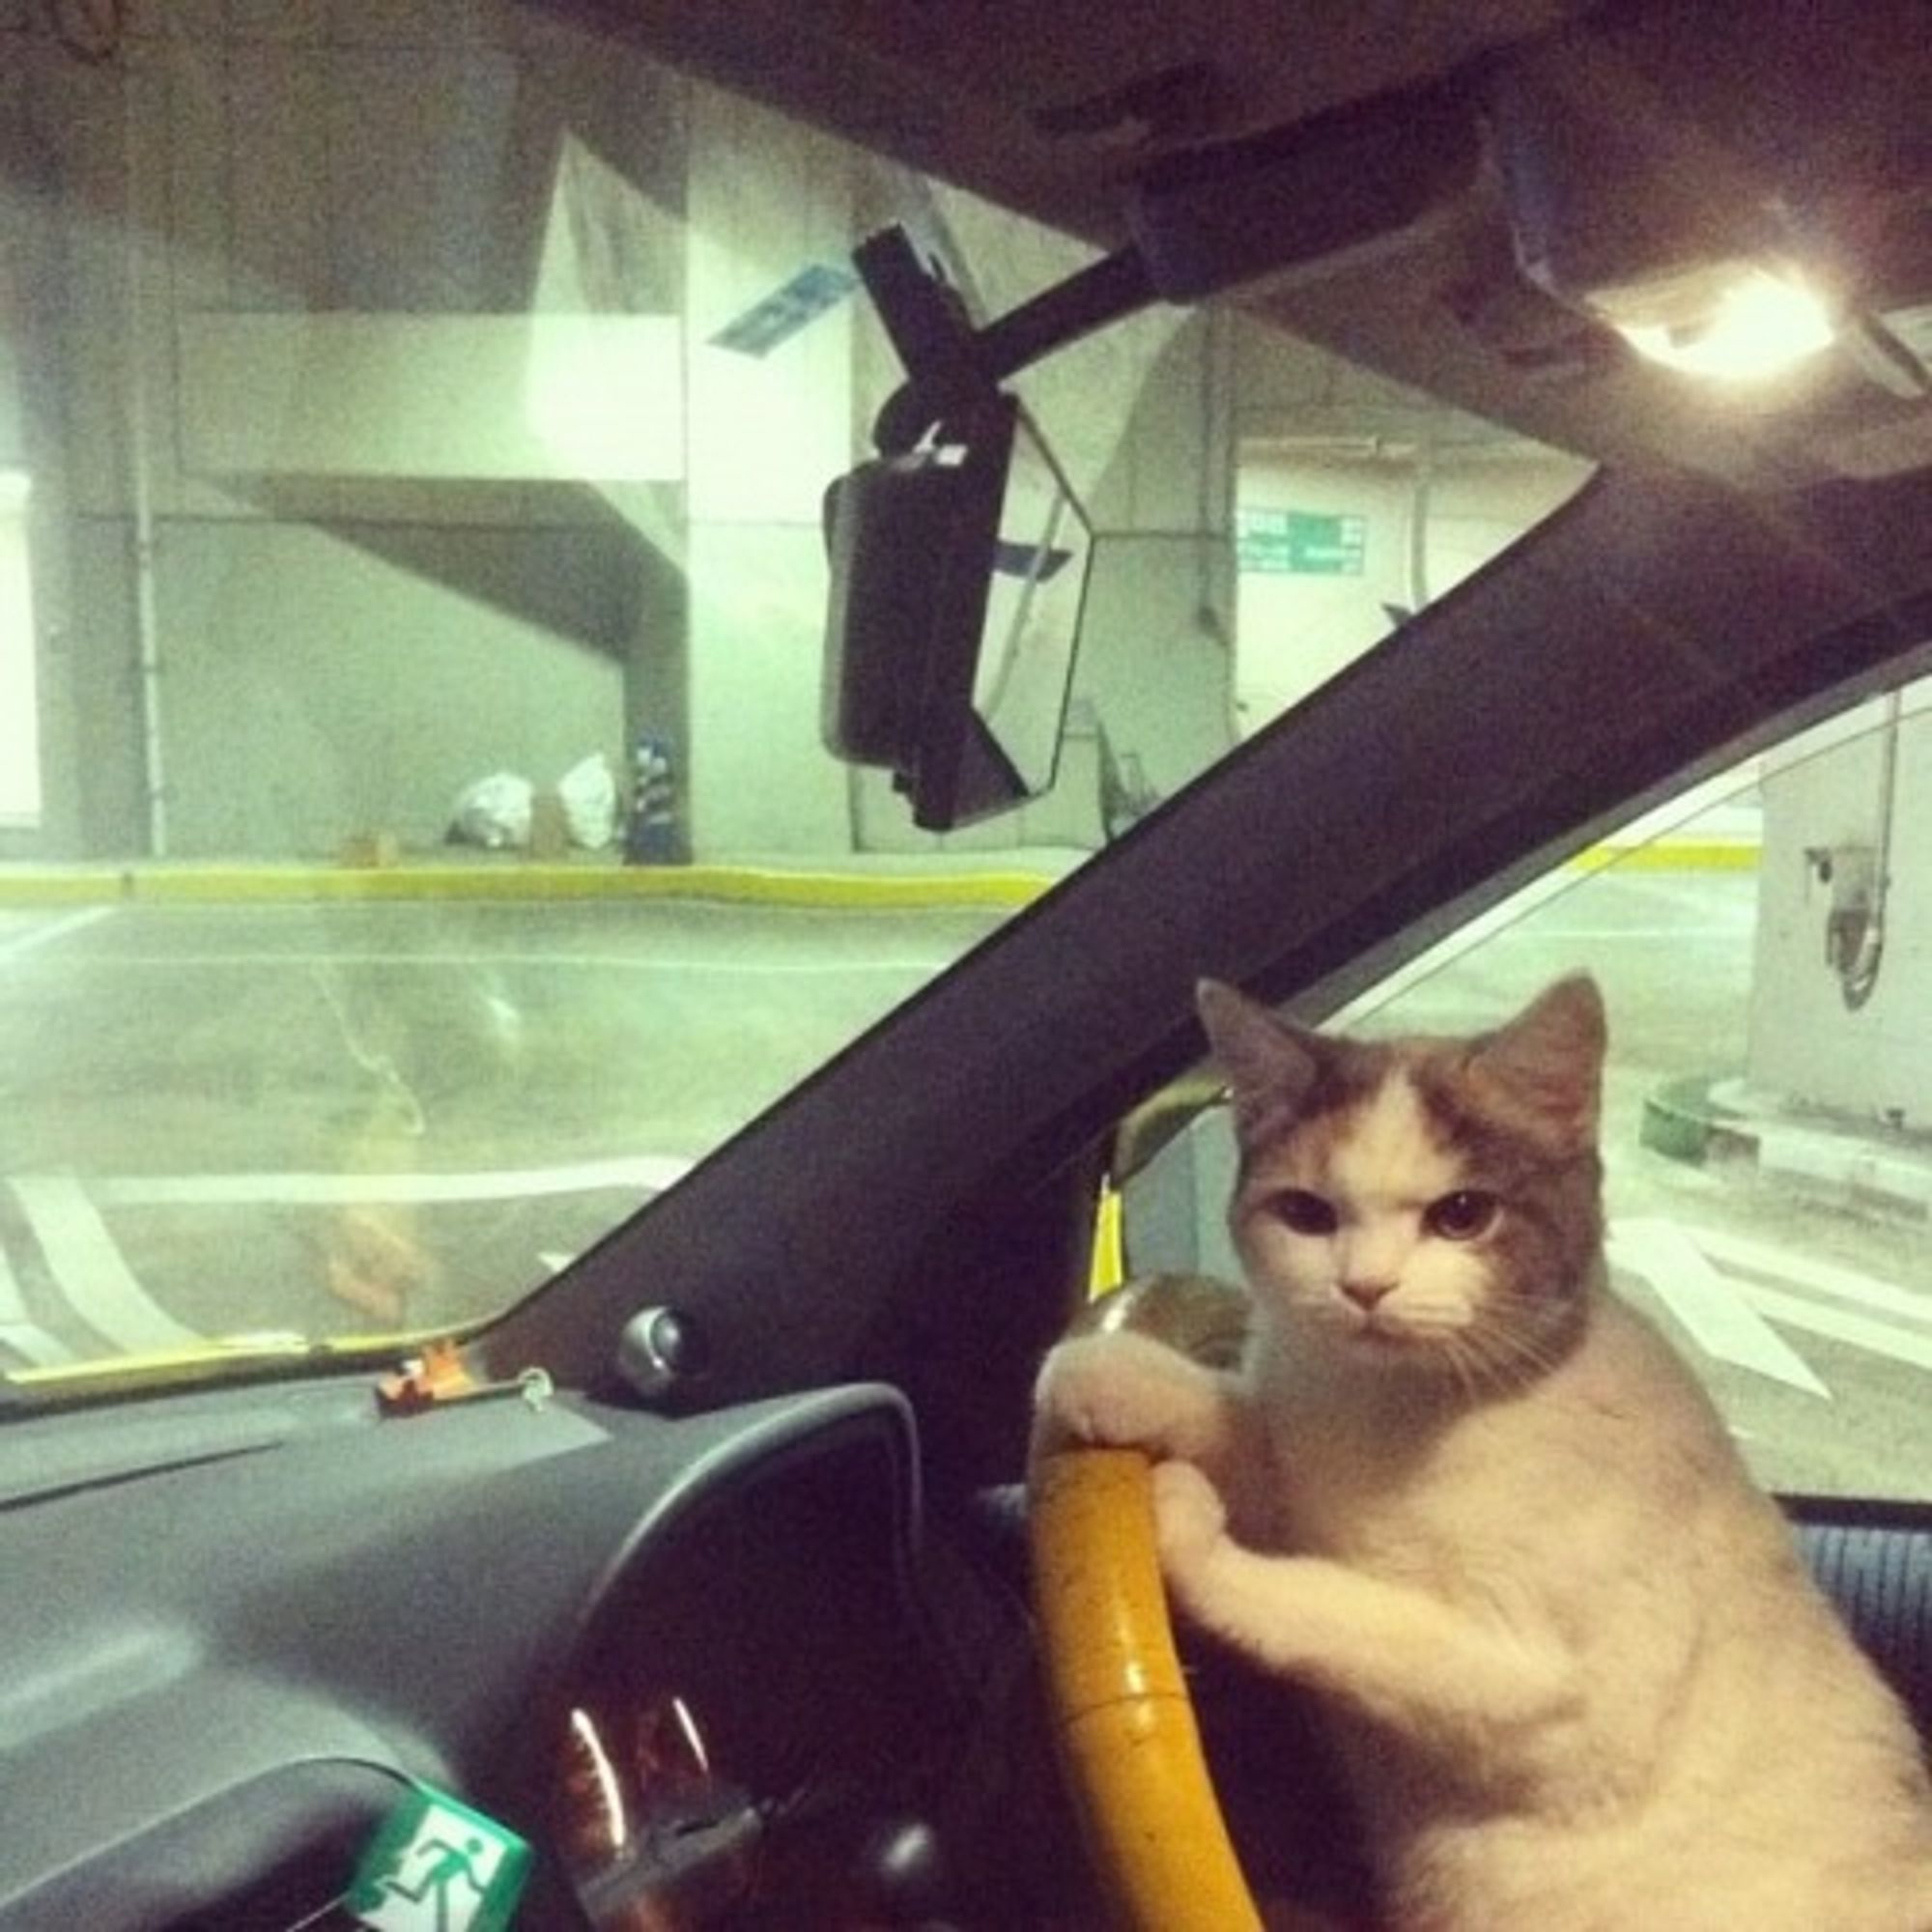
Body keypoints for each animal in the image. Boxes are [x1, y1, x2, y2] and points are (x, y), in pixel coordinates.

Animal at [1036, 981, 1932, 1932]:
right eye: (1308, 1214)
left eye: (1461, 1215)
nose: (1364, 1287)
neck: (1403, 1408)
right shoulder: (1309, 1477)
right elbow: (1254, 1439)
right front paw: (1115, 1369)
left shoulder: (1548, 1687)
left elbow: (1338, 1616)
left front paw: (1191, 1537)